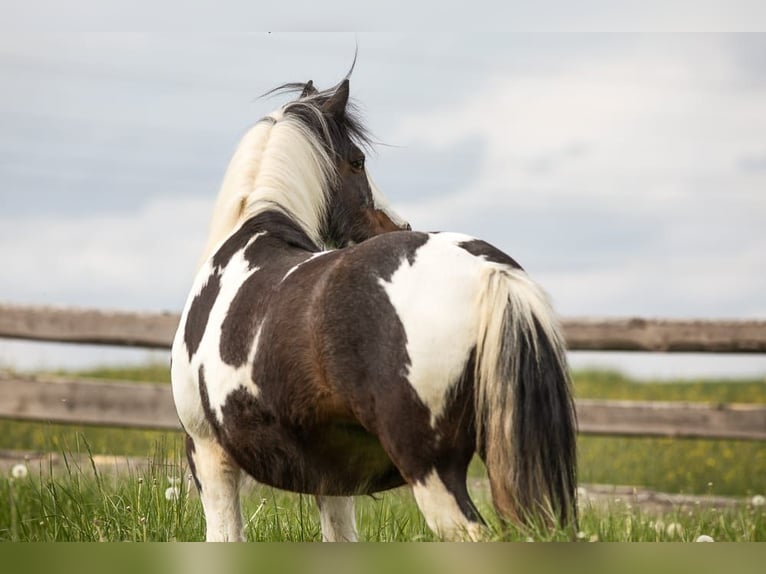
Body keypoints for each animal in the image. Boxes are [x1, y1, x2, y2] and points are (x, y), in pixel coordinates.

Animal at [170, 81, 576, 544]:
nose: (397, 225)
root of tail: (485, 269)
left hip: (432, 472)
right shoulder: (332, 477)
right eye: (358, 161)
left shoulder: (208, 453)